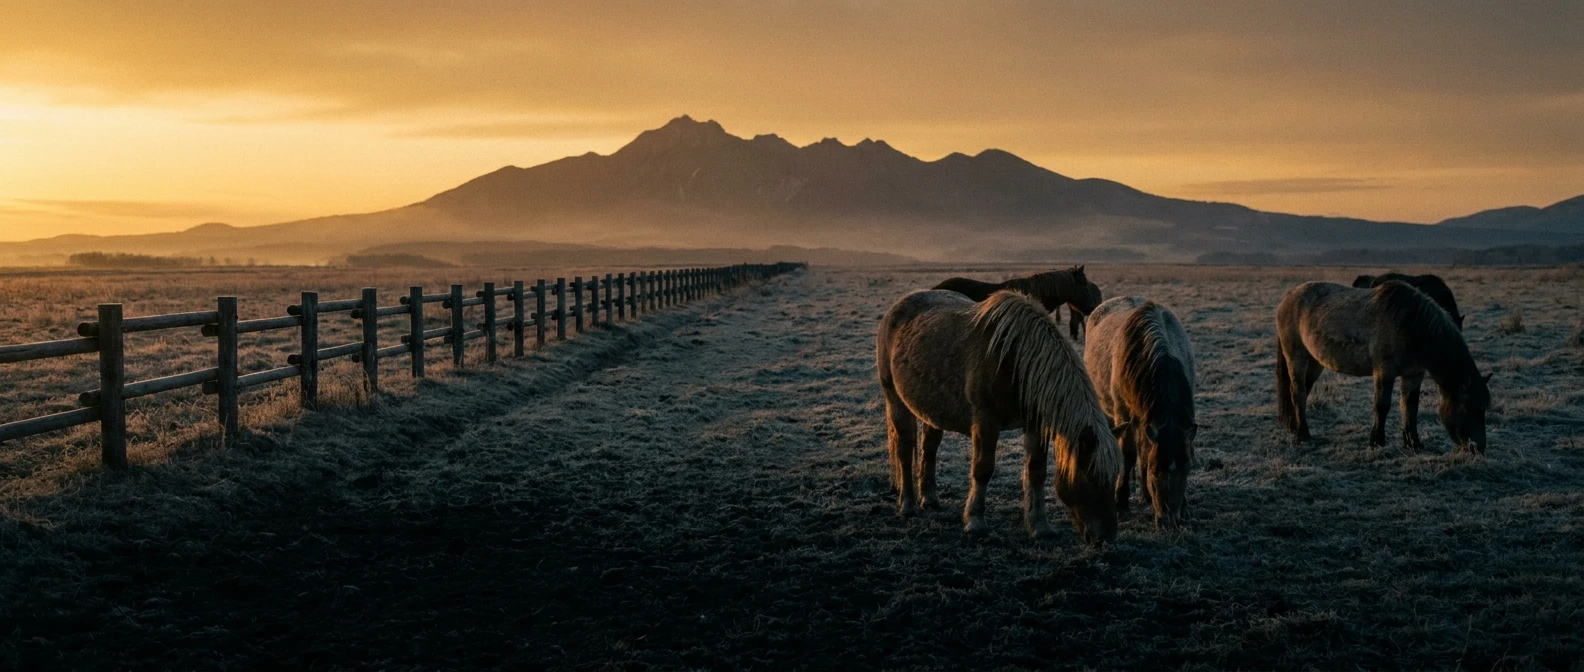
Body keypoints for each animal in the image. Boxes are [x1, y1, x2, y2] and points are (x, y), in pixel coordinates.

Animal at [876, 288, 1121, 544]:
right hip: (896, 401)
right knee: (904, 451)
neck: (1016, 361)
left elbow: (1036, 472)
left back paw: (930, 499)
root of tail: (896, 309)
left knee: (929, 448)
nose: (1106, 537)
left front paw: (1039, 526)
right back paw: (907, 505)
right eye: (1090, 476)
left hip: (931, 410)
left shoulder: (1035, 424)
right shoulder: (986, 422)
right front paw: (976, 522)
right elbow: (982, 470)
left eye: (1115, 477)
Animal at [1084, 297, 1197, 529]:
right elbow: (1128, 455)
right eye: (1155, 472)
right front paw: (1121, 501)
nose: (1168, 522)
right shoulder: (1124, 415)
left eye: (1187, 470)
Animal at [1276, 280, 1492, 453]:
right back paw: (1303, 434)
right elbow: (1382, 406)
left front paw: (1413, 443)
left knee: (1304, 390)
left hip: (1315, 362)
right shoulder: (1384, 371)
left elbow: (1410, 407)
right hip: (1296, 357)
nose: (1478, 448)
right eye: (1466, 407)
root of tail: (1287, 298)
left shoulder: (1414, 374)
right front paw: (1376, 442)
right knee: (1298, 392)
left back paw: (1293, 426)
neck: (1411, 326)